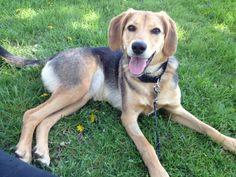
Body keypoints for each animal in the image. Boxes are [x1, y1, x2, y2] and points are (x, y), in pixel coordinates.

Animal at [0, 9, 235, 176]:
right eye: (131, 27)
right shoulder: (129, 117)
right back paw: (23, 151)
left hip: (79, 98)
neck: (151, 81)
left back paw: (42, 153)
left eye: (156, 31)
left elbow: (207, 128)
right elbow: (148, 147)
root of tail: (53, 56)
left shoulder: (175, 110)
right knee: (31, 114)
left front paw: (231, 143)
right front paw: (159, 172)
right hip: (75, 90)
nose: (138, 47)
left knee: (46, 120)